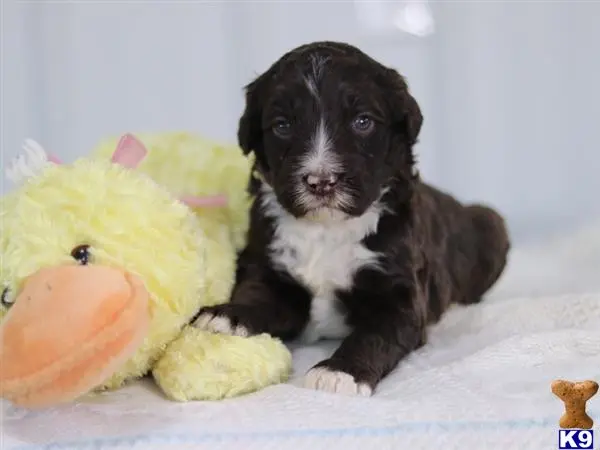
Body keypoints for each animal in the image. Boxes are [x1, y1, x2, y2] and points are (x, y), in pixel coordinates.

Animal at [193, 40, 510, 396]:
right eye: (282, 125)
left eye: (362, 122)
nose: (320, 182)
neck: (326, 228)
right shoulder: (267, 263)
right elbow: (258, 294)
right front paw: (227, 317)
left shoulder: (399, 297)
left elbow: (373, 335)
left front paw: (339, 371)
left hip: (491, 224)